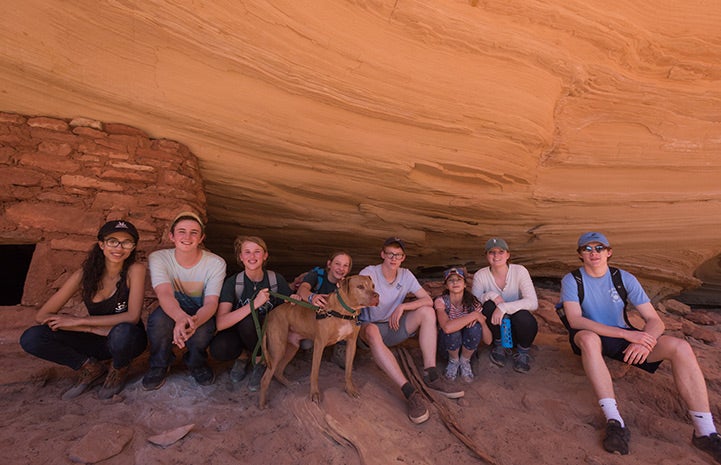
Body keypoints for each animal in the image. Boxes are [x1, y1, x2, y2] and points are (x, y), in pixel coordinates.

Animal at [260, 274, 382, 408]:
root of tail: (270, 315)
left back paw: (289, 384)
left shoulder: (351, 344)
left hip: (292, 347)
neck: (344, 311)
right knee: (265, 379)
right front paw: (314, 394)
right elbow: (315, 372)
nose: (377, 296)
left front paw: (350, 389)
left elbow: (348, 371)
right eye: (360, 287)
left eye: (373, 286)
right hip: (278, 349)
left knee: (278, 371)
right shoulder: (319, 344)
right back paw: (262, 404)